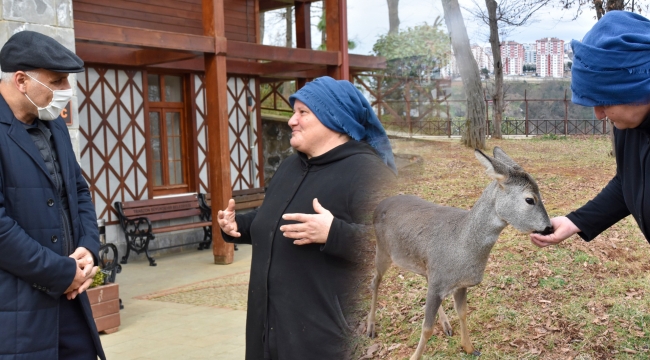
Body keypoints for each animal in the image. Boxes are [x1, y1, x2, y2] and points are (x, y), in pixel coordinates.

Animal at [368, 148, 548, 358]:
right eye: (530, 199)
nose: (549, 227)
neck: (461, 245)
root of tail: (379, 204)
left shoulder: (458, 283)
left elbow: (462, 313)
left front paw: (469, 347)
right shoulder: (439, 281)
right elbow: (426, 328)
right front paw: (414, 356)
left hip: (423, 264)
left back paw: (446, 325)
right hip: (382, 249)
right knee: (375, 281)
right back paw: (370, 327)